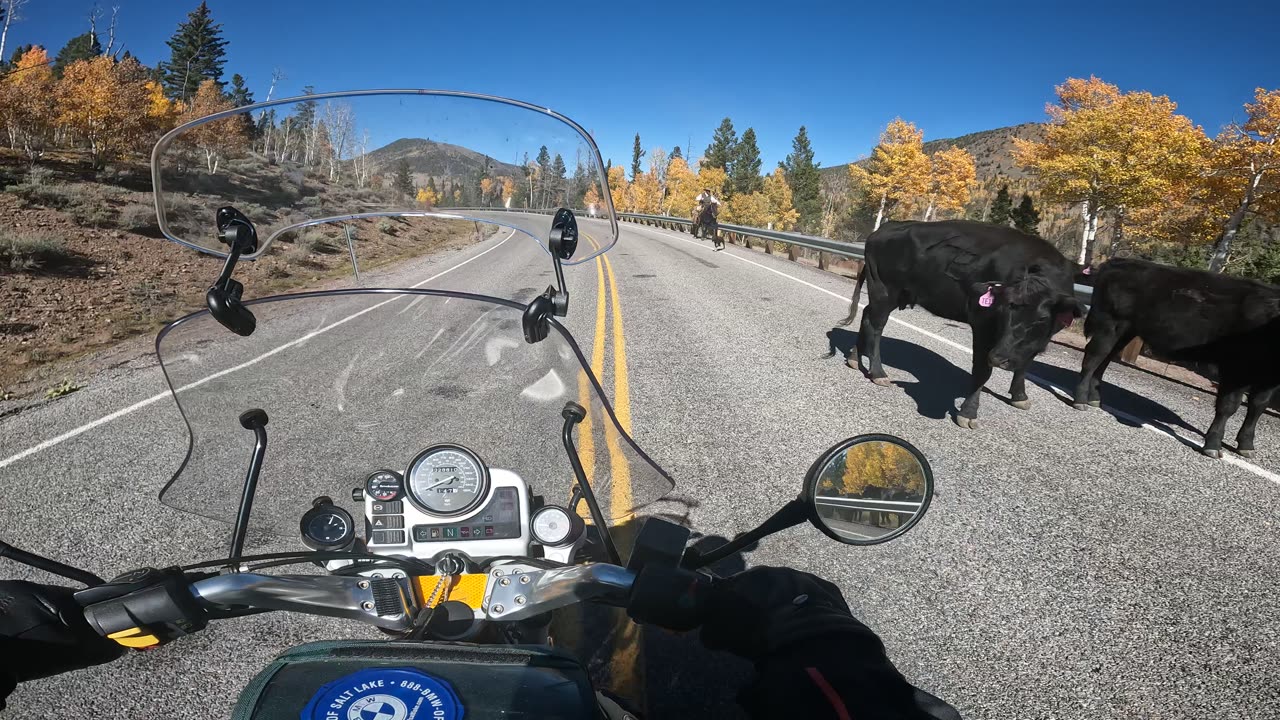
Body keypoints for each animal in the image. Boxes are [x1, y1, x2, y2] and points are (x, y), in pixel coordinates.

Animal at [834, 219, 1085, 427]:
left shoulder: (1035, 340)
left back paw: (855, 357)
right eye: (1004, 309)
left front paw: (1019, 396)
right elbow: (982, 371)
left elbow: (1024, 364)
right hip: (884, 290)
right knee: (876, 325)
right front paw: (968, 413)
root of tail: (887, 226)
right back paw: (878, 372)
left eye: (1042, 317)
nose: (999, 358)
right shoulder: (983, 324)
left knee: (867, 315)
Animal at [1070, 257, 1280, 456]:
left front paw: (1247, 446)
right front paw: (1213, 445)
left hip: (1126, 332)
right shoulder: (1236, 370)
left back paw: (1094, 399)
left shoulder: (1267, 380)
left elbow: (1258, 406)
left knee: (1104, 360)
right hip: (1110, 325)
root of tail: (1117, 262)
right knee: (1093, 358)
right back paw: (1080, 400)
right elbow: (1229, 406)